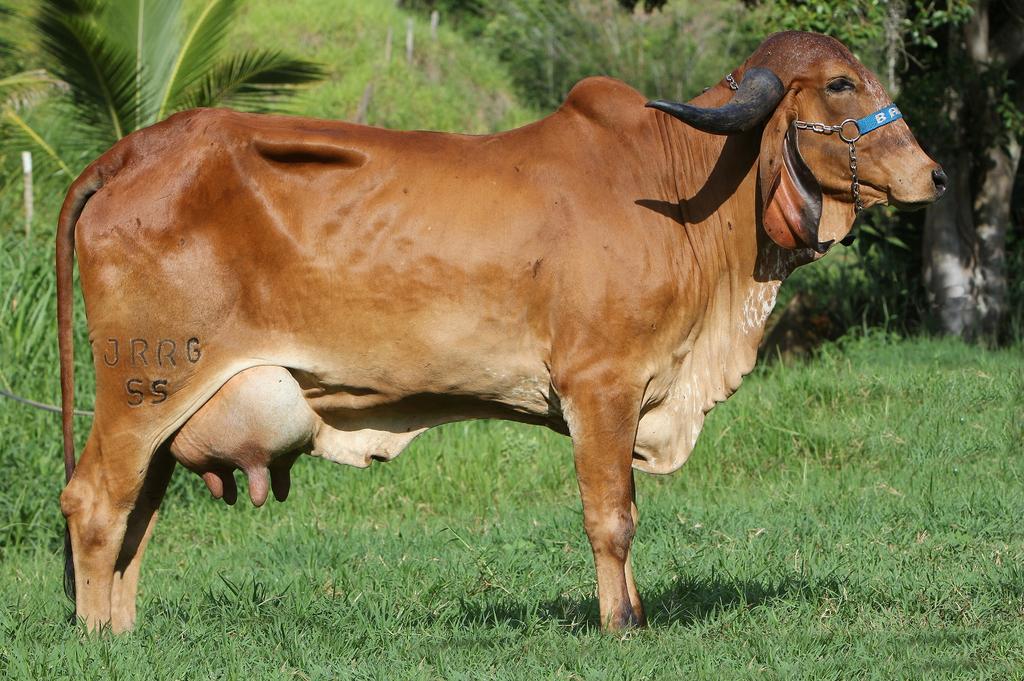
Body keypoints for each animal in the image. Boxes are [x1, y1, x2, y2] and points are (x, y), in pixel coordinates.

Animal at [58, 31, 942, 630]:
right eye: (840, 83)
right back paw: (98, 637)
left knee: (139, 512)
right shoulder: (601, 385)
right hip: (143, 386)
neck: (685, 188)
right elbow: (612, 516)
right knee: (96, 499)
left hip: (163, 402)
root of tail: (131, 153)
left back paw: (124, 630)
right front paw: (622, 623)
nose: (931, 173)